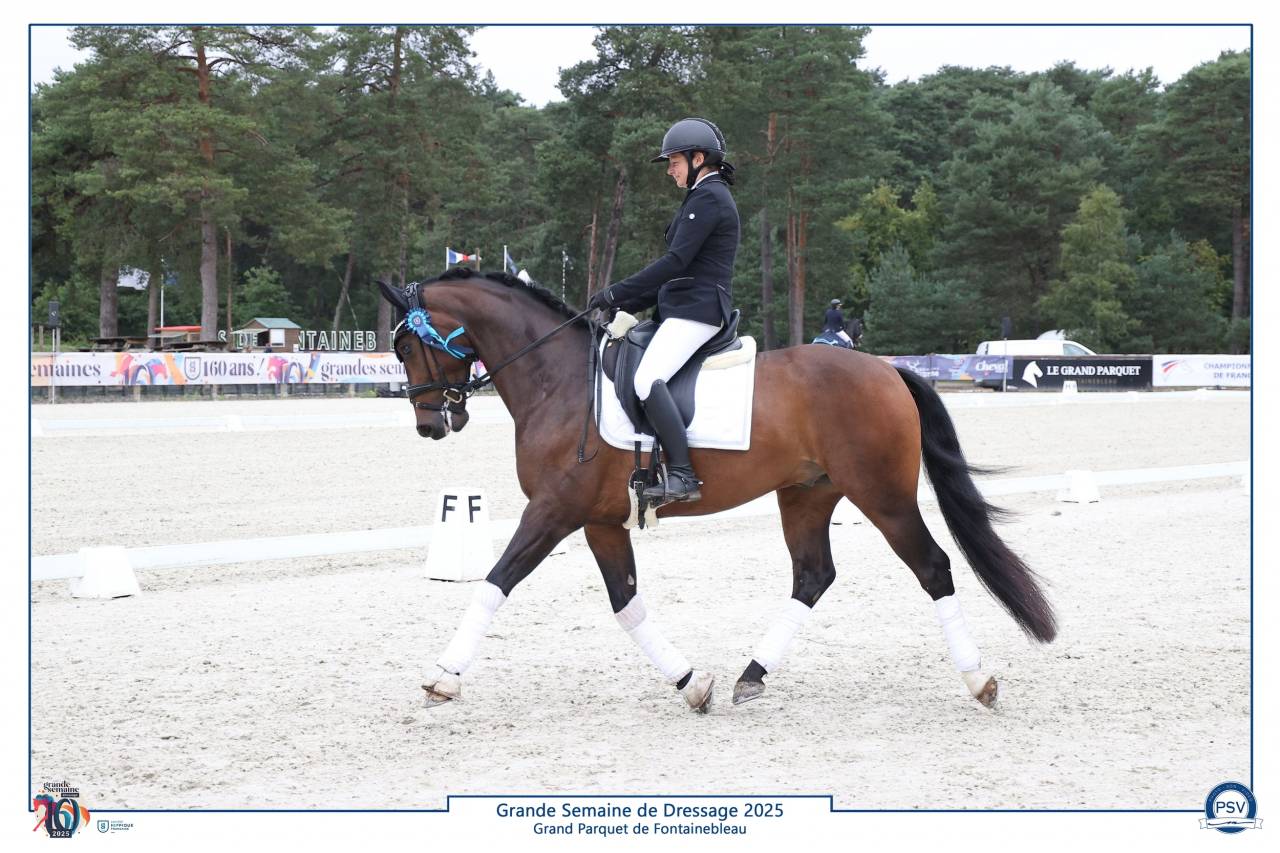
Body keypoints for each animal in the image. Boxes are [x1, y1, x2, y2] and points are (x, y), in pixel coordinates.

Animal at [379, 268, 1055, 713]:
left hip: (882, 495)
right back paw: (751, 675)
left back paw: (978, 681)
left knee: (933, 566)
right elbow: (626, 604)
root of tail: (887, 369)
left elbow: (496, 581)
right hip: (807, 494)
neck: (559, 381)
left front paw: (443, 677)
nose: (429, 423)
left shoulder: (552, 510)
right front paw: (691, 682)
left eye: (406, 344)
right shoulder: (599, 520)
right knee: (813, 575)